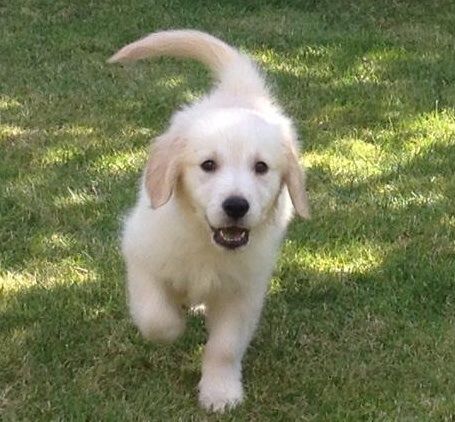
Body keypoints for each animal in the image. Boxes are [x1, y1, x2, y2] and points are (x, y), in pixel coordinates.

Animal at [109, 29, 310, 412]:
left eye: (261, 167)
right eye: (208, 165)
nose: (236, 206)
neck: (205, 241)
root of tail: (240, 91)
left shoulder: (243, 292)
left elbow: (224, 347)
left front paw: (220, 391)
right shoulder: (141, 256)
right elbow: (157, 318)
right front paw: (174, 323)